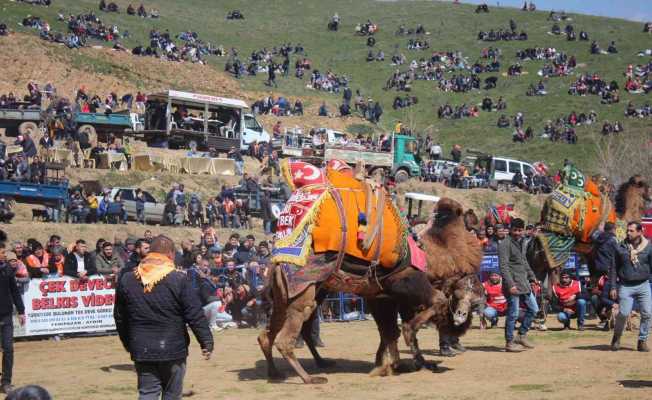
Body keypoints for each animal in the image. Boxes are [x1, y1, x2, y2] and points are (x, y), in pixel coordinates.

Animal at [258, 159, 482, 382]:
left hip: (287, 291)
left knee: (269, 334)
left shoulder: (380, 295)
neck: (433, 256)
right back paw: (309, 377)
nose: (460, 321)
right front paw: (404, 357)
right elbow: (430, 306)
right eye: (465, 299)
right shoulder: (405, 282)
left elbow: (388, 331)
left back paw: (281, 370)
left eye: (477, 301)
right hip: (303, 287)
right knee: (289, 332)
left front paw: (392, 364)